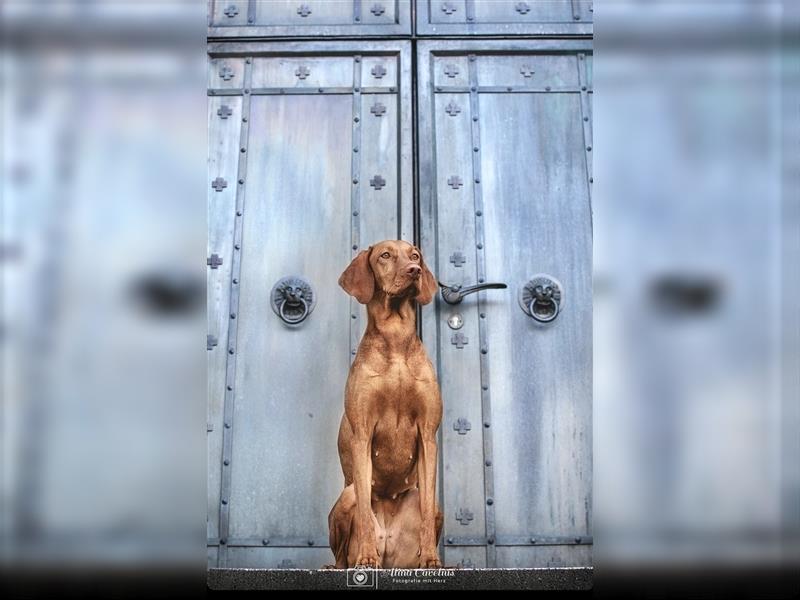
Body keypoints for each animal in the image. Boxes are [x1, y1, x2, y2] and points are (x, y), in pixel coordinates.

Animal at [328, 239, 446, 568]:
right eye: (385, 255)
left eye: (415, 255)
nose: (415, 270)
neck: (395, 339)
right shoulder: (362, 434)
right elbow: (364, 513)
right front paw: (367, 557)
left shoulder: (428, 435)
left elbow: (426, 510)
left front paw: (431, 559)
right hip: (349, 494)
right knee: (342, 553)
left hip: (433, 507)